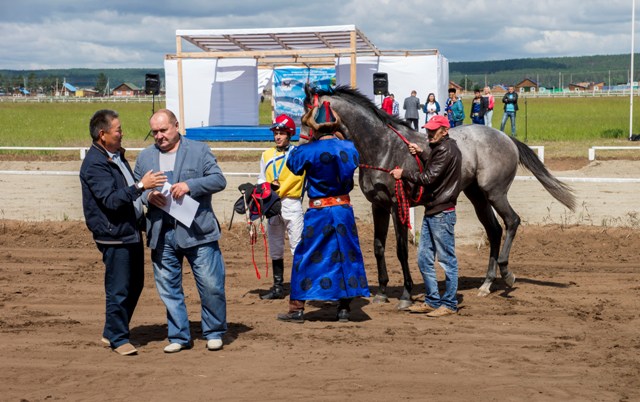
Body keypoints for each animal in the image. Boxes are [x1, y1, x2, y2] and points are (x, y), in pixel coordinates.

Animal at [300, 85, 576, 308]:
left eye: (308, 115)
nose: (301, 146)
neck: (383, 147)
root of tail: (505, 137)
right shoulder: (378, 206)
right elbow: (378, 248)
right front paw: (381, 292)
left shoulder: (396, 206)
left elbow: (401, 249)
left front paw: (406, 294)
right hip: (477, 196)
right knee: (494, 230)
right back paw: (486, 284)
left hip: (494, 192)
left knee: (512, 222)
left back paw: (506, 273)